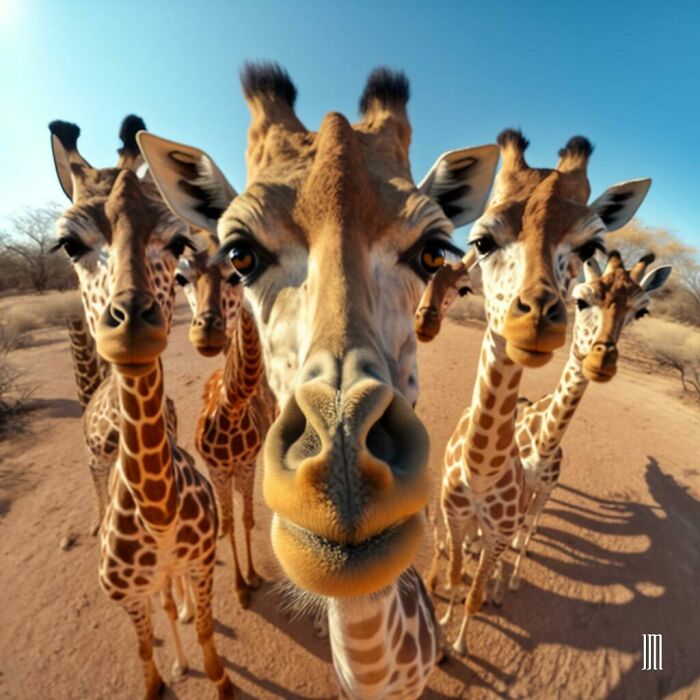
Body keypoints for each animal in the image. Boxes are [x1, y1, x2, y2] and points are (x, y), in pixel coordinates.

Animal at [50, 115, 182, 536]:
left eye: (180, 243)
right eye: (69, 244)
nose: (132, 332)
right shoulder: (94, 459)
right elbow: (100, 494)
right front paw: (99, 524)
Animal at [176, 231, 277, 608]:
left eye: (237, 270)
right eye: (181, 277)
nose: (207, 332)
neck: (231, 411)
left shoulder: (246, 464)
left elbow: (246, 518)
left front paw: (252, 577)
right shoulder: (217, 468)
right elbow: (231, 523)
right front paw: (239, 587)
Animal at [421, 129, 652, 656]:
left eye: (591, 245)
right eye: (481, 241)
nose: (537, 321)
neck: (480, 475)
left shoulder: (504, 524)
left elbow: (477, 590)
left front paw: (461, 644)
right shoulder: (457, 515)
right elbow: (459, 577)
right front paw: (441, 633)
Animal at [507, 251, 672, 590]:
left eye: (641, 311)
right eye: (580, 300)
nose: (601, 361)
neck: (543, 446)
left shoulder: (545, 487)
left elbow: (527, 523)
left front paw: (513, 578)